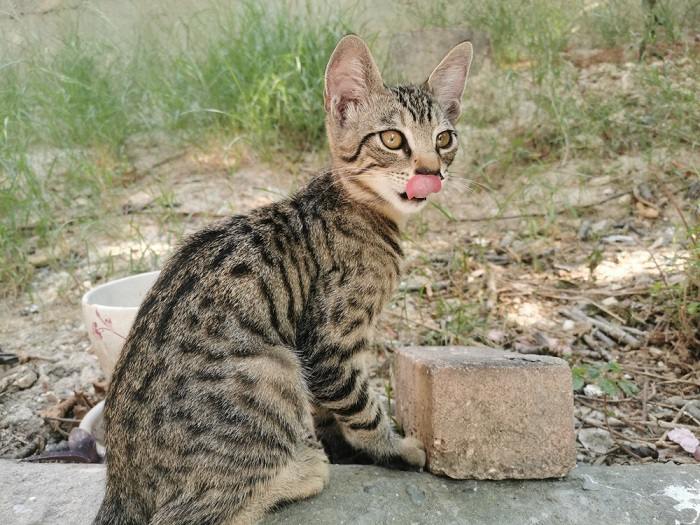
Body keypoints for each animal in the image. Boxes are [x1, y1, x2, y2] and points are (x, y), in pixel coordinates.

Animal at [94, 34, 470, 520]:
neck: (358, 207)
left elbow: (332, 408)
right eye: (392, 139)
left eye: (444, 139)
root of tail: (119, 482)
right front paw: (392, 449)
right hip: (273, 369)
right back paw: (303, 471)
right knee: (193, 513)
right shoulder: (329, 345)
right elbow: (362, 406)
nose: (431, 171)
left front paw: (339, 440)